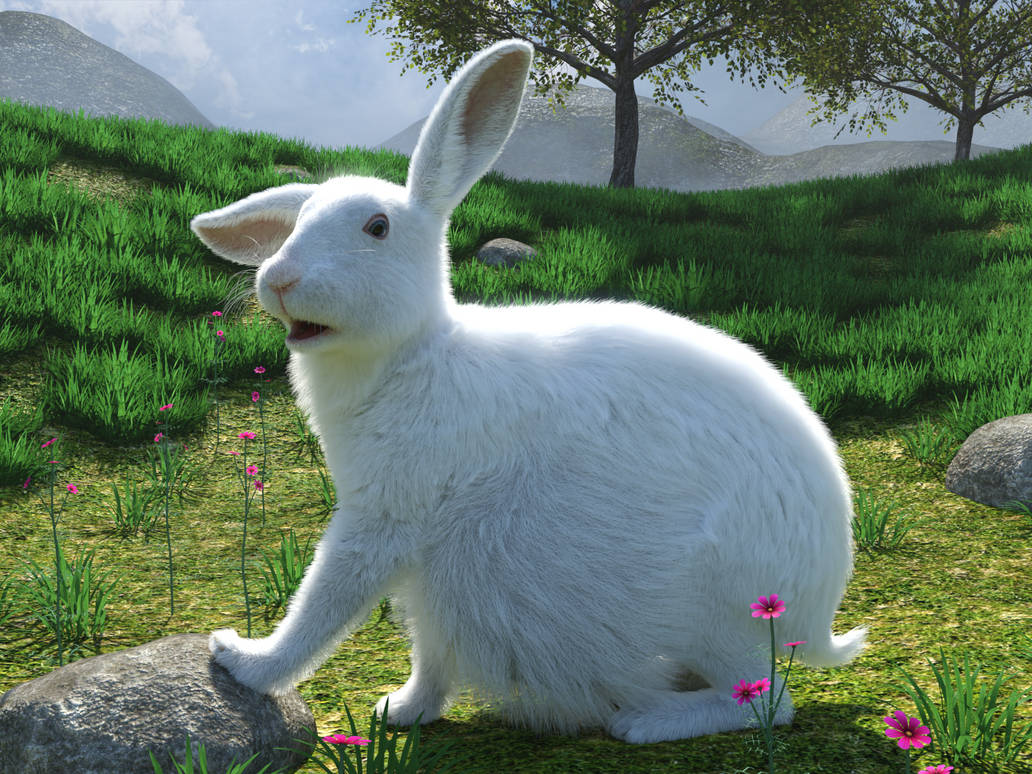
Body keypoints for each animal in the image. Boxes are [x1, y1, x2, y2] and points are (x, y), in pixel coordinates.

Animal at [189, 38, 867, 744]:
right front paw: (400, 711)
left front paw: (242, 660)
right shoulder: (433, 573)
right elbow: (430, 655)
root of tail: (819, 619)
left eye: (377, 228)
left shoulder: (386, 519)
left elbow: (326, 602)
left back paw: (645, 721)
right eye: (295, 224)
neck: (418, 356)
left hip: (714, 610)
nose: (278, 279)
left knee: (767, 702)